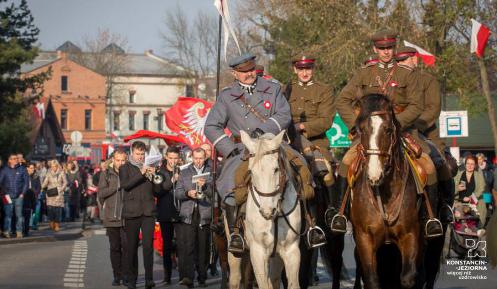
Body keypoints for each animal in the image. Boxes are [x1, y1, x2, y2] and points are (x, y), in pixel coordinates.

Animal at [227, 130, 300, 288]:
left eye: (276, 169)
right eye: (250, 171)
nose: (267, 211)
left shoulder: (291, 250)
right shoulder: (258, 252)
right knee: (235, 278)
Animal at [348, 93, 422, 286]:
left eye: (388, 130)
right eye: (361, 130)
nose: (374, 174)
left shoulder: (410, 235)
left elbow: (407, 277)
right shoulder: (364, 238)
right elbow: (371, 278)